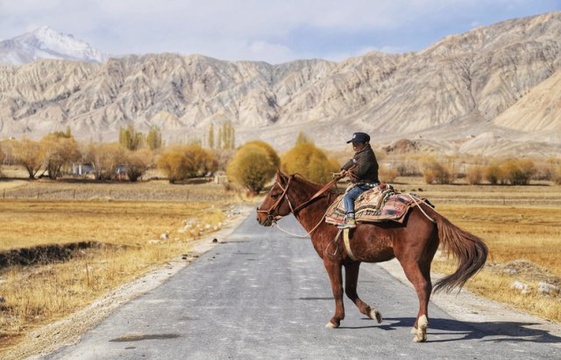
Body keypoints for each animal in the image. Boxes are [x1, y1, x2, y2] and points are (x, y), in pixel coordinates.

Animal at [256, 172, 488, 344]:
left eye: (275, 194)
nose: (259, 216)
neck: (322, 214)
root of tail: (430, 214)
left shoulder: (331, 261)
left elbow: (337, 289)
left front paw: (335, 320)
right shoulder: (352, 261)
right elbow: (350, 290)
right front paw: (373, 313)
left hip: (410, 262)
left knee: (422, 287)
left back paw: (421, 330)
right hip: (424, 261)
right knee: (427, 287)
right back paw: (416, 326)